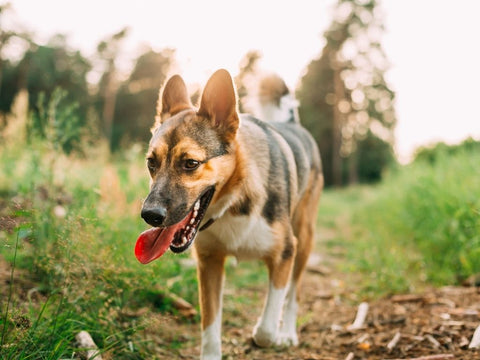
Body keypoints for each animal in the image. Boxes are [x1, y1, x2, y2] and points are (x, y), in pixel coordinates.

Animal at [135, 69, 322, 358]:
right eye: (151, 163)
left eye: (190, 163)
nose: (150, 215)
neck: (234, 200)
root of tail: (293, 124)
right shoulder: (209, 263)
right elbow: (210, 328)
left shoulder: (284, 253)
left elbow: (267, 328)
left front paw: (262, 334)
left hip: (303, 238)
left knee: (294, 293)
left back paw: (288, 333)